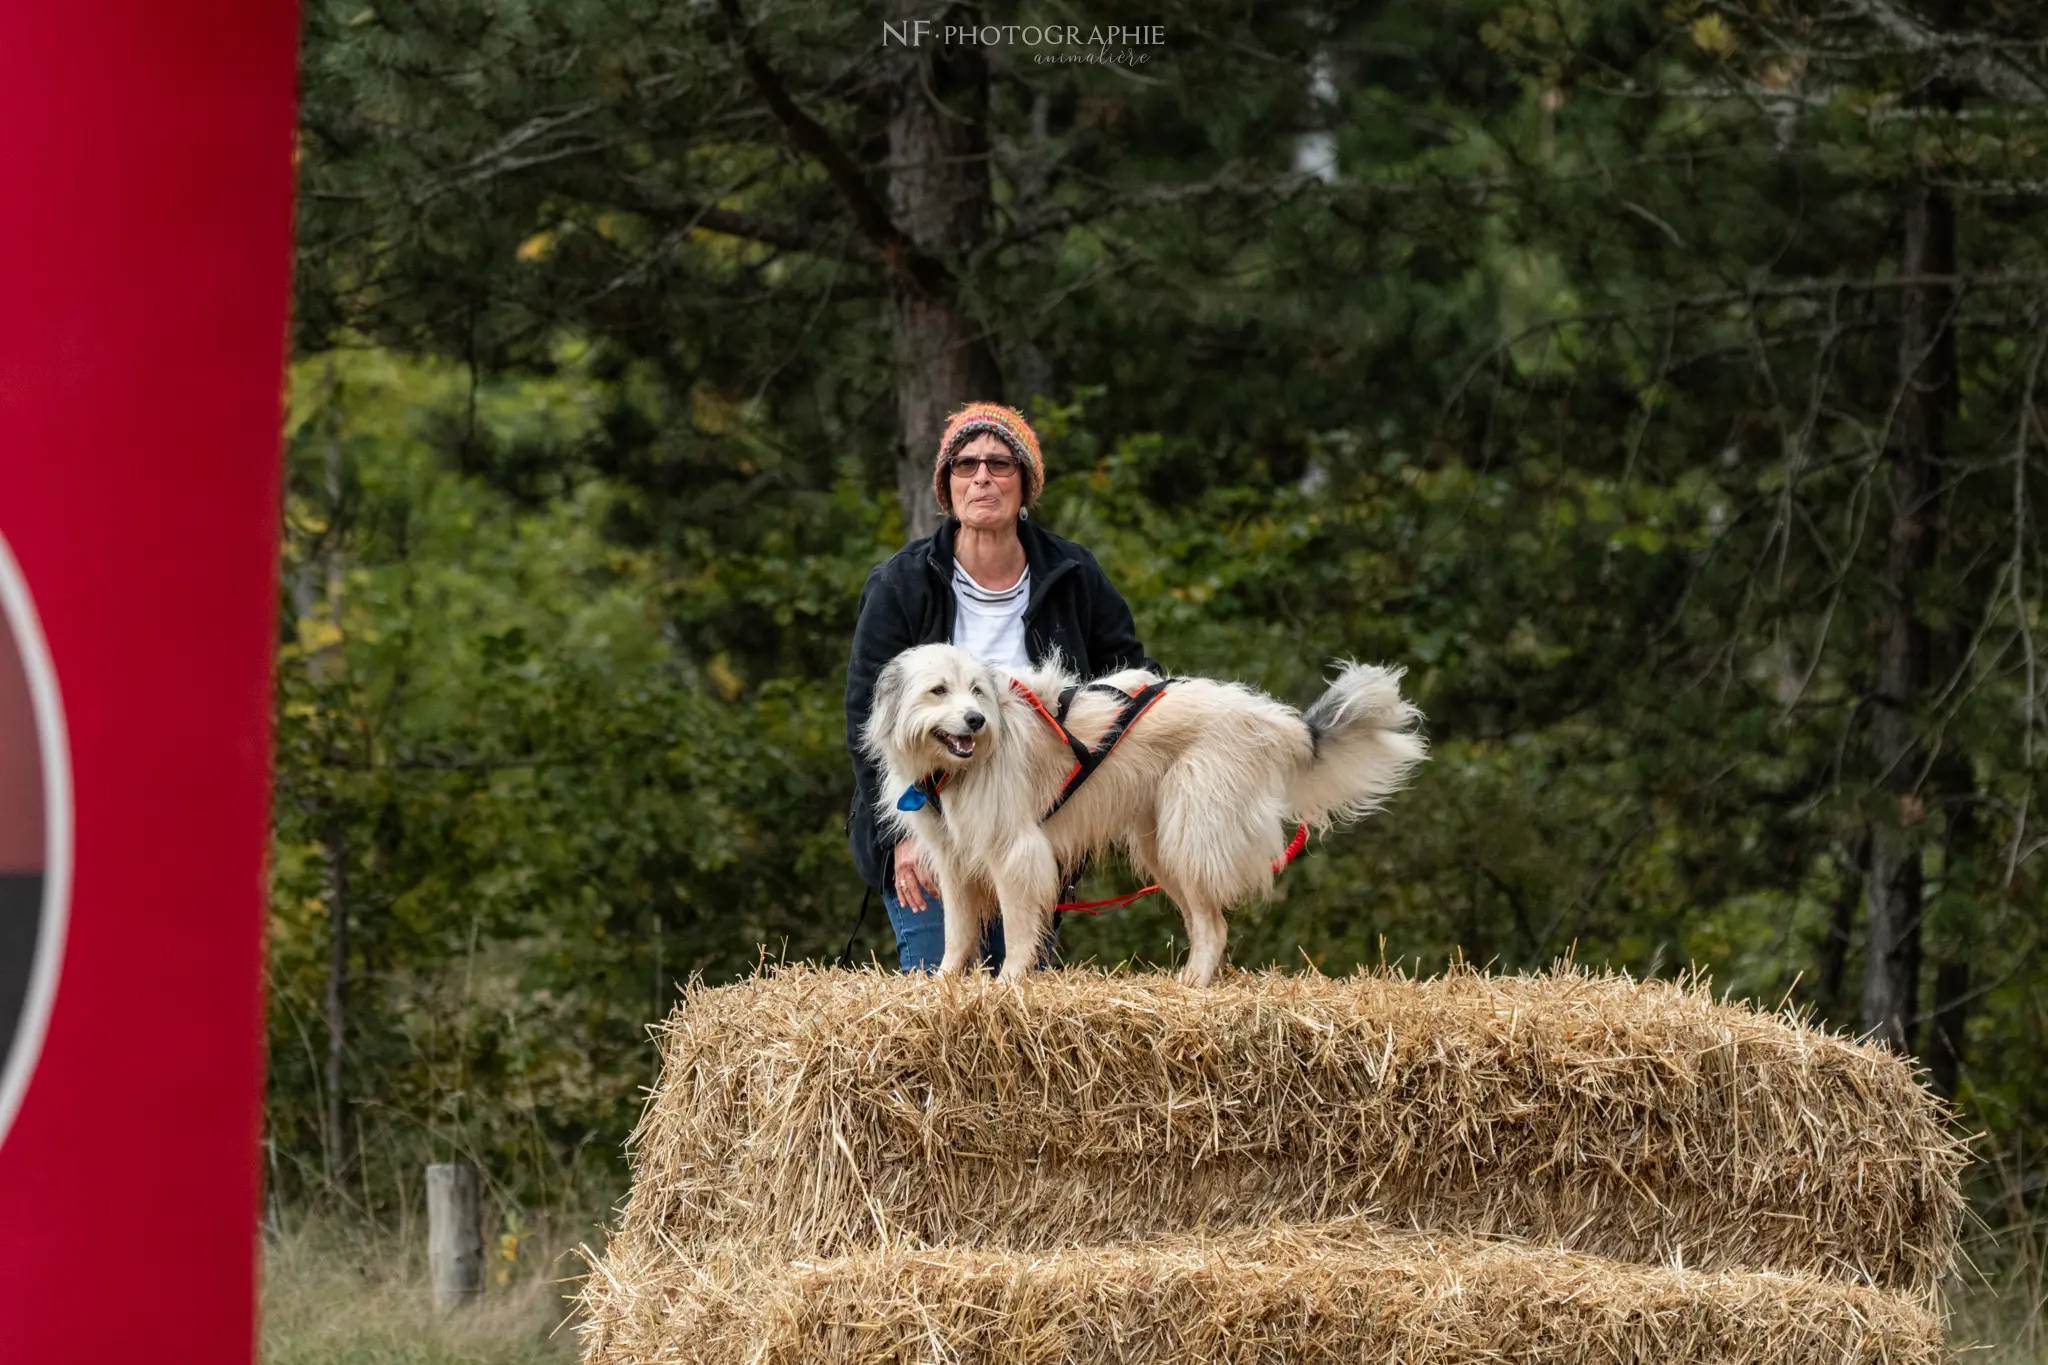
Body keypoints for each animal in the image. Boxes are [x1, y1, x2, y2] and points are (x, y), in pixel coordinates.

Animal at [864, 646, 1425, 986]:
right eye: (939, 690)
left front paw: (1008, 984)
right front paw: (944, 983)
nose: (977, 720)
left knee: (1213, 925)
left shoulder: (1015, 851)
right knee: (1204, 922)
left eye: (977, 691)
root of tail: (1269, 720)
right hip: (1164, 846)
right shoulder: (954, 862)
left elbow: (1020, 928)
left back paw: (1194, 983)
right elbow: (957, 932)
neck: (957, 769)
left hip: (1189, 834)